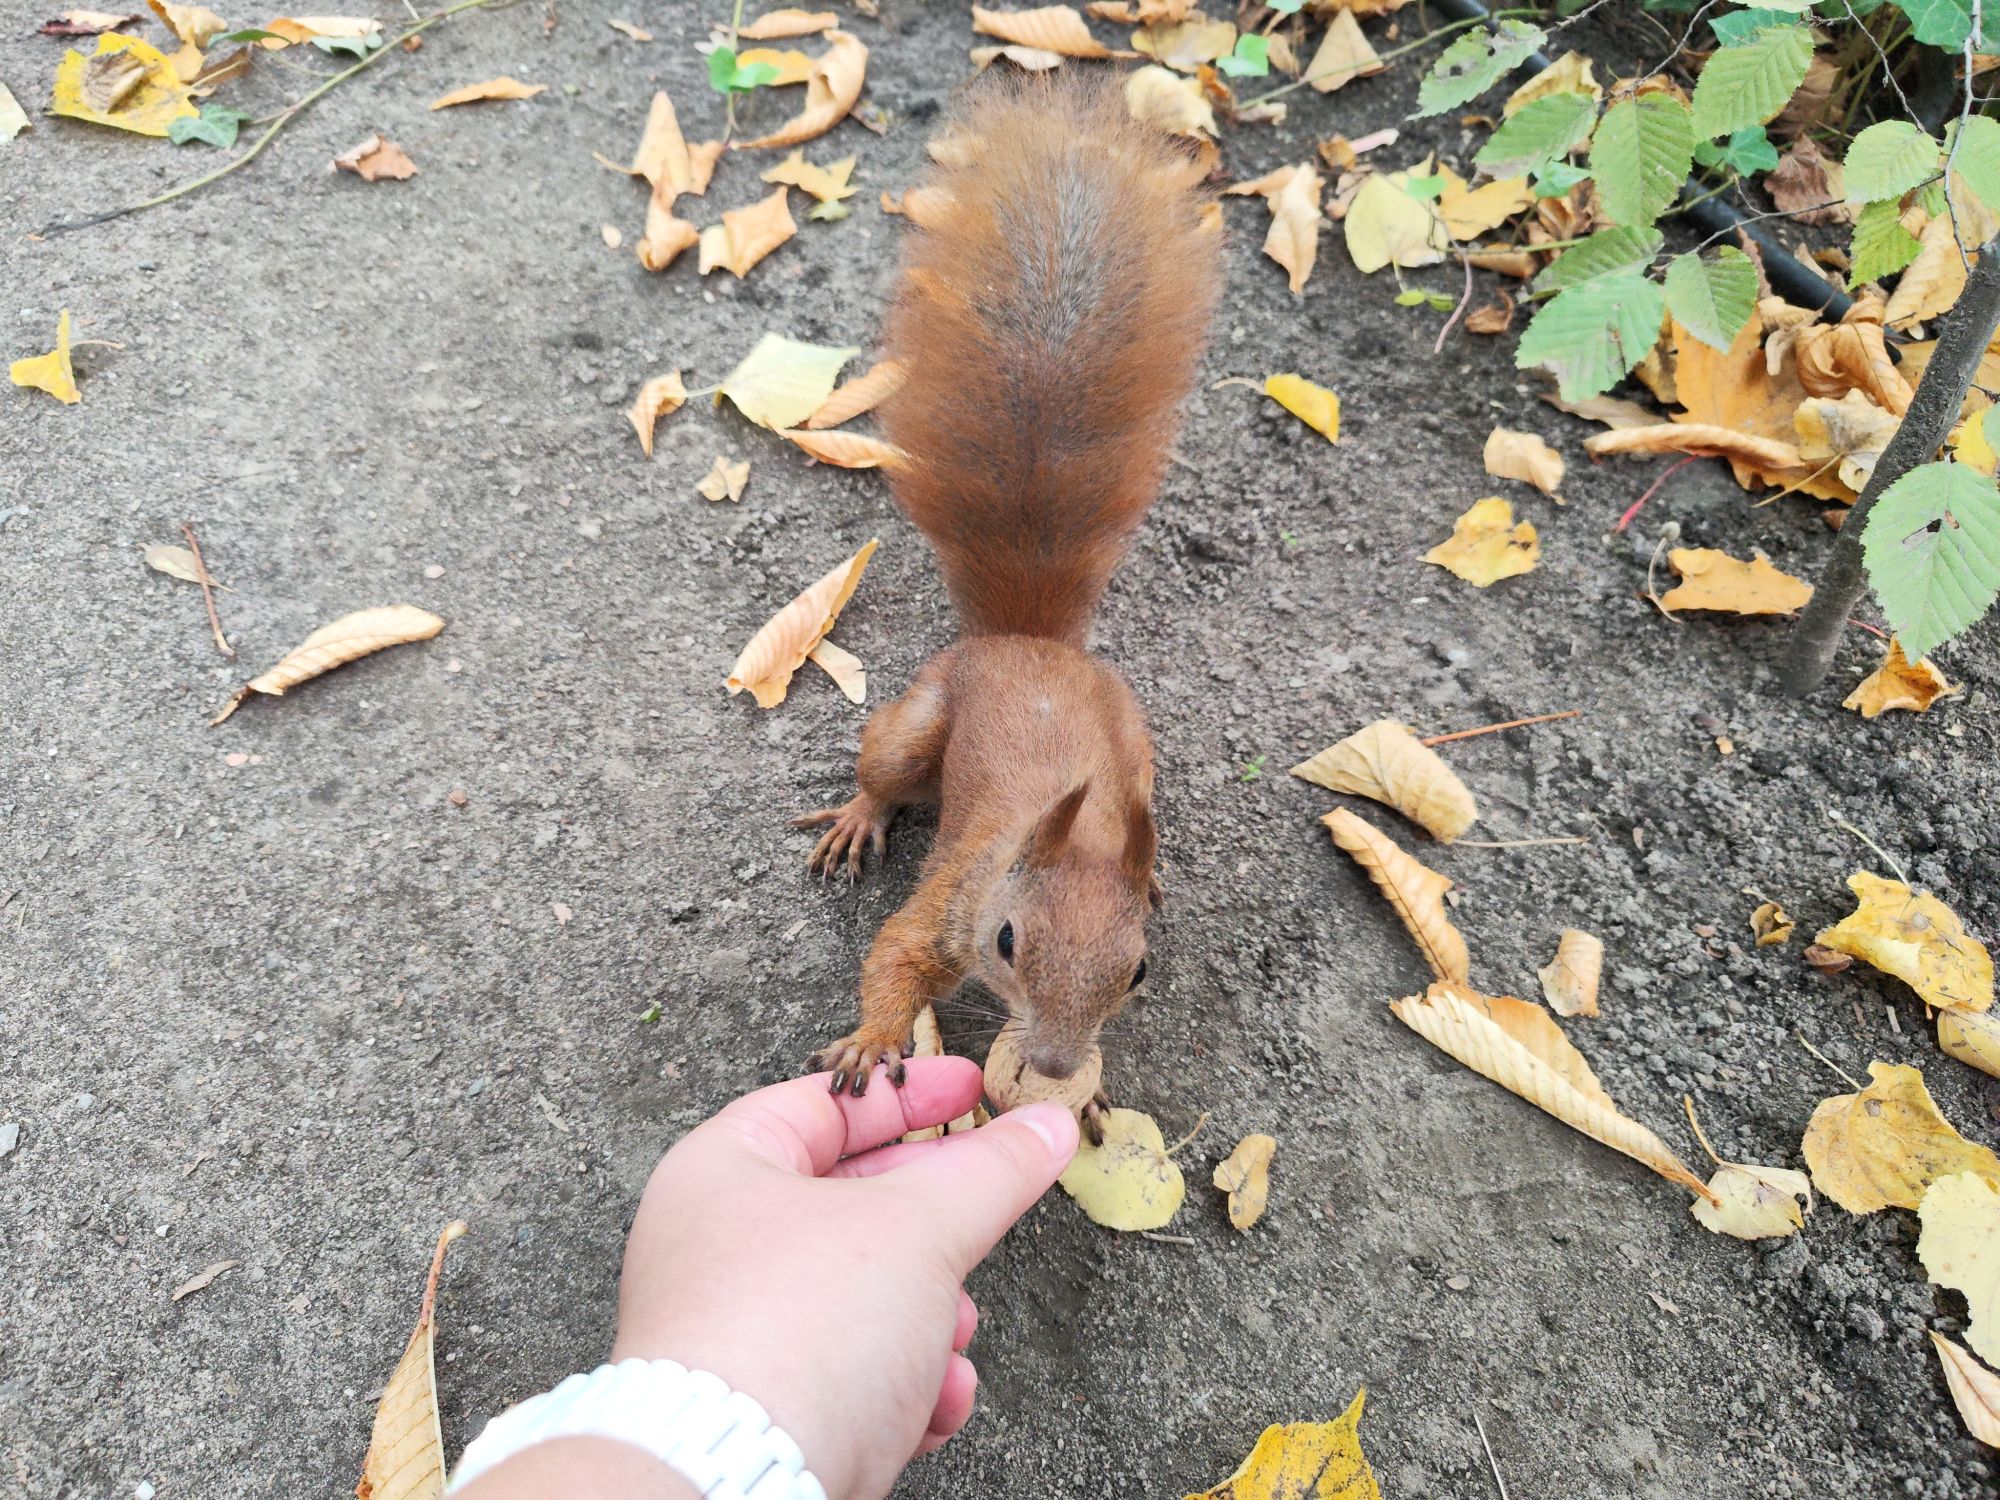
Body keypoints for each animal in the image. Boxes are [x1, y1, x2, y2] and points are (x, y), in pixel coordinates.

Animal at [795, 78, 1222, 1131]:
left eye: (1139, 972)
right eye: (1005, 943)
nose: (1061, 1064)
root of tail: (1027, 640)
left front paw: (1095, 1103)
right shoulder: (951, 900)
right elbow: (894, 956)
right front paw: (871, 1041)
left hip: (1139, 744)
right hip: (919, 719)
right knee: (885, 766)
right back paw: (862, 814)